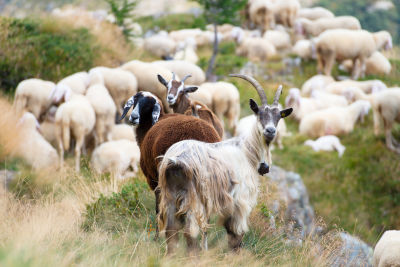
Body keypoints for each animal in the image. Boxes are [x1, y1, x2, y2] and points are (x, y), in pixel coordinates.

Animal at [119, 90, 222, 232]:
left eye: (148, 105)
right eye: (135, 101)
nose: (133, 117)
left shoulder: (154, 178)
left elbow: (159, 207)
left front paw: (158, 232)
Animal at [158, 74, 292, 254]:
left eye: (278, 117)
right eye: (259, 113)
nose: (270, 131)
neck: (247, 151)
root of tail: (175, 161)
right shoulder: (240, 200)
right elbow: (236, 234)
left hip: (170, 196)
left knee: (171, 231)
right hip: (194, 198)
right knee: (189, 231)